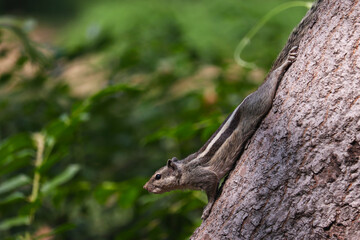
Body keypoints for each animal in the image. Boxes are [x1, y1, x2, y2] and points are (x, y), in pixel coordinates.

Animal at [143, 46, 298, 220]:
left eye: (157, 176)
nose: (145, 187)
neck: (184, 169)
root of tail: (248, 96)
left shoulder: (205, 176)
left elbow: (211, 190)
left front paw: (207, 209)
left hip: (260, 102)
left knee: (271, 82)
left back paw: (284, 63)